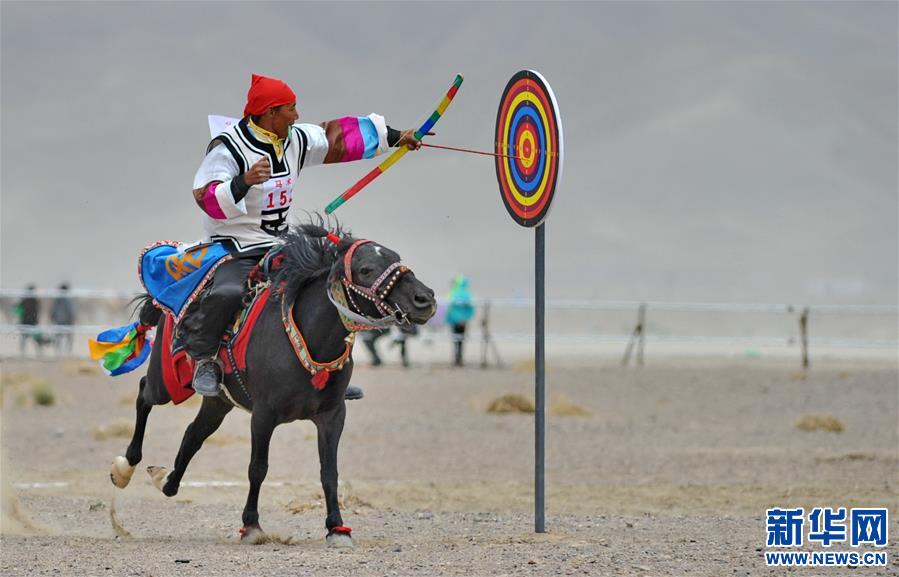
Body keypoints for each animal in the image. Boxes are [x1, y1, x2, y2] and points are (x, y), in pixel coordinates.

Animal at [109, 223, 440, 548]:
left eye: (395, 257)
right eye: (366, 269)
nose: (425, 299)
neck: (308, 339)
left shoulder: (333, 415)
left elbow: (329, 472)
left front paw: (337, 527)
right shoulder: (263, 415)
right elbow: (258, 468)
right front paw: (251, 526)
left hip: (218, 401)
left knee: (193, 435)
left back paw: (167, 482)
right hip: (167, 381)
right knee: (144, 394)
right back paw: (126, 466)